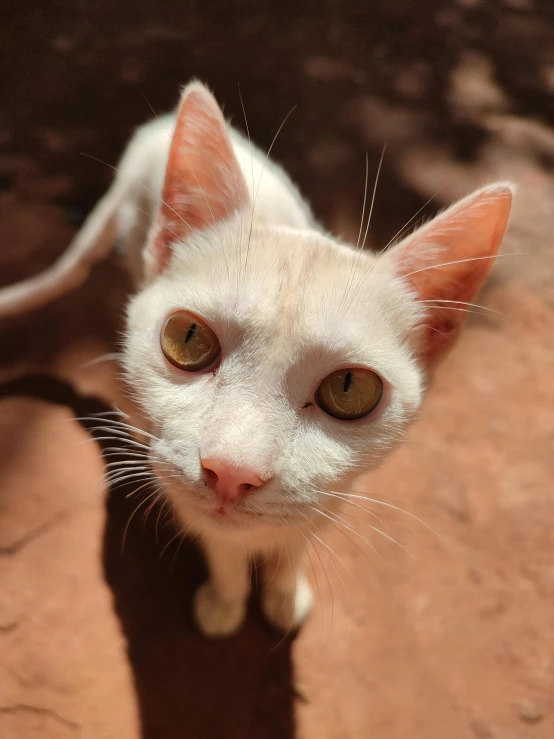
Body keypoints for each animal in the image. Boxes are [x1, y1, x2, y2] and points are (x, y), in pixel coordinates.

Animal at [0, 81, 512, 636]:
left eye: (350, 389)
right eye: (188, 338)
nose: (230, 472)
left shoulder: (330, 497)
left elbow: (295, 544)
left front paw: (283, 594)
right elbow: (221, 549)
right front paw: (226, 601)